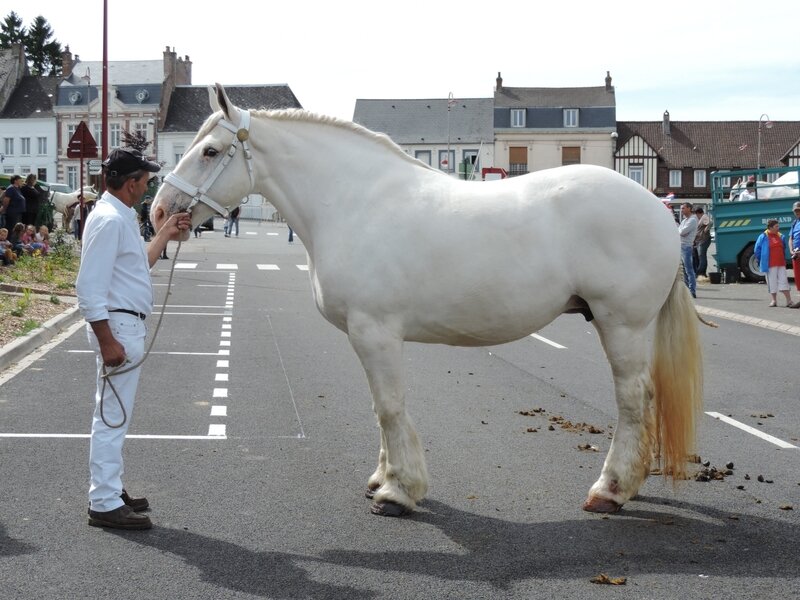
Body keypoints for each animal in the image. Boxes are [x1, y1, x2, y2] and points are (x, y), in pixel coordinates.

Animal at [153, 83, 704, 516]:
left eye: (210, 151)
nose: (159, 211)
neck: (354, 202)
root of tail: (659, 210)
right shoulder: (369, 337)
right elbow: (381, 407)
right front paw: (383, 479)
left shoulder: (374, 331)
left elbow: (390, 406)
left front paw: (398, 492)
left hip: (620, 324)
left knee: (633, 399)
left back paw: (610, 490)